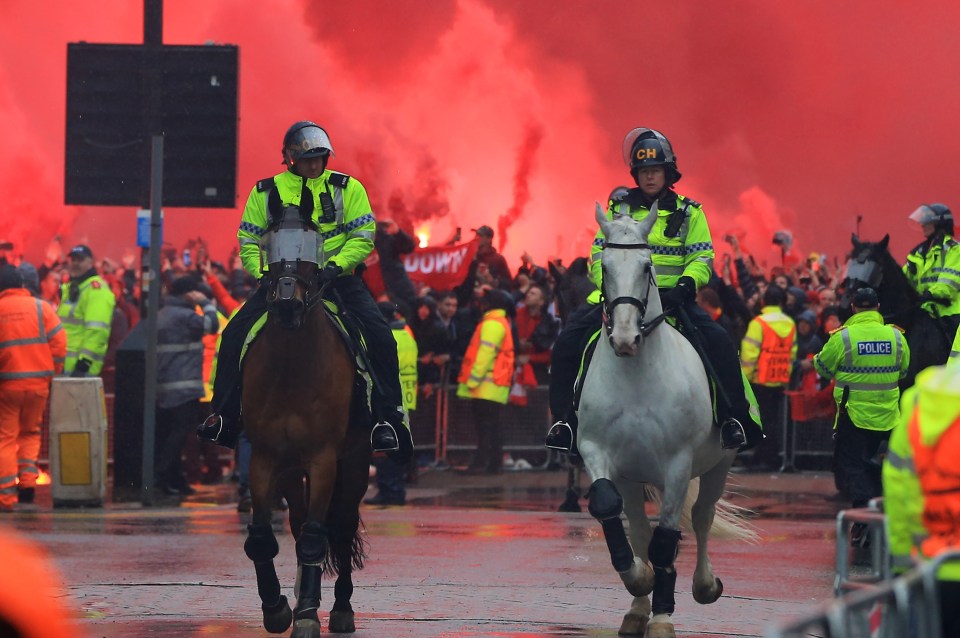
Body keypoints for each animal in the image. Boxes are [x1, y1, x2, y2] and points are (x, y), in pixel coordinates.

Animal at [240, 251, 372, 638]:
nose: (287, 303)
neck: (292, 368)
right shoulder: (265, 458)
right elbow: (262, 538)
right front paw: (277, 608)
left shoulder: (323, 459)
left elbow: (316, 537)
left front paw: (309, 616)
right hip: (291, 471)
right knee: (299, 523)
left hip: (355, 463)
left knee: (341, 528)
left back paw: (341, 607)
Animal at [576, 202, 756, 636]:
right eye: (605, 265)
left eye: (647, 267)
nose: (625, 339)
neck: (636, 376)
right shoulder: (596, 451)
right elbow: (610, 508)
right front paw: (638, 579)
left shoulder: (677, 463)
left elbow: (667, 539)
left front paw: (662, 617)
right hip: (634, 476)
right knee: (643, 529)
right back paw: (638, 607)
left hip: (718, 464)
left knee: (700, 518)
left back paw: (702, 585)